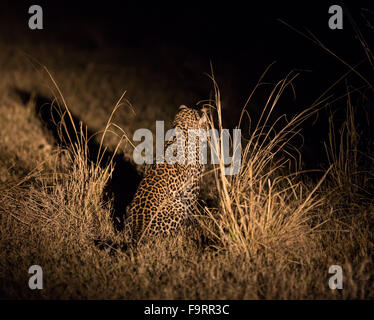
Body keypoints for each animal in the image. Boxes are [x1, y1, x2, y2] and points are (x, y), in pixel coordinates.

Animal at [124, 105, 209, 242]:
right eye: (207, 125)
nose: (209, 136)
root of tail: (138, 231)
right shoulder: (193, 186)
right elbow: (192, 207)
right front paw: (194, 226)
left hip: (128, 209)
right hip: (179, 205)